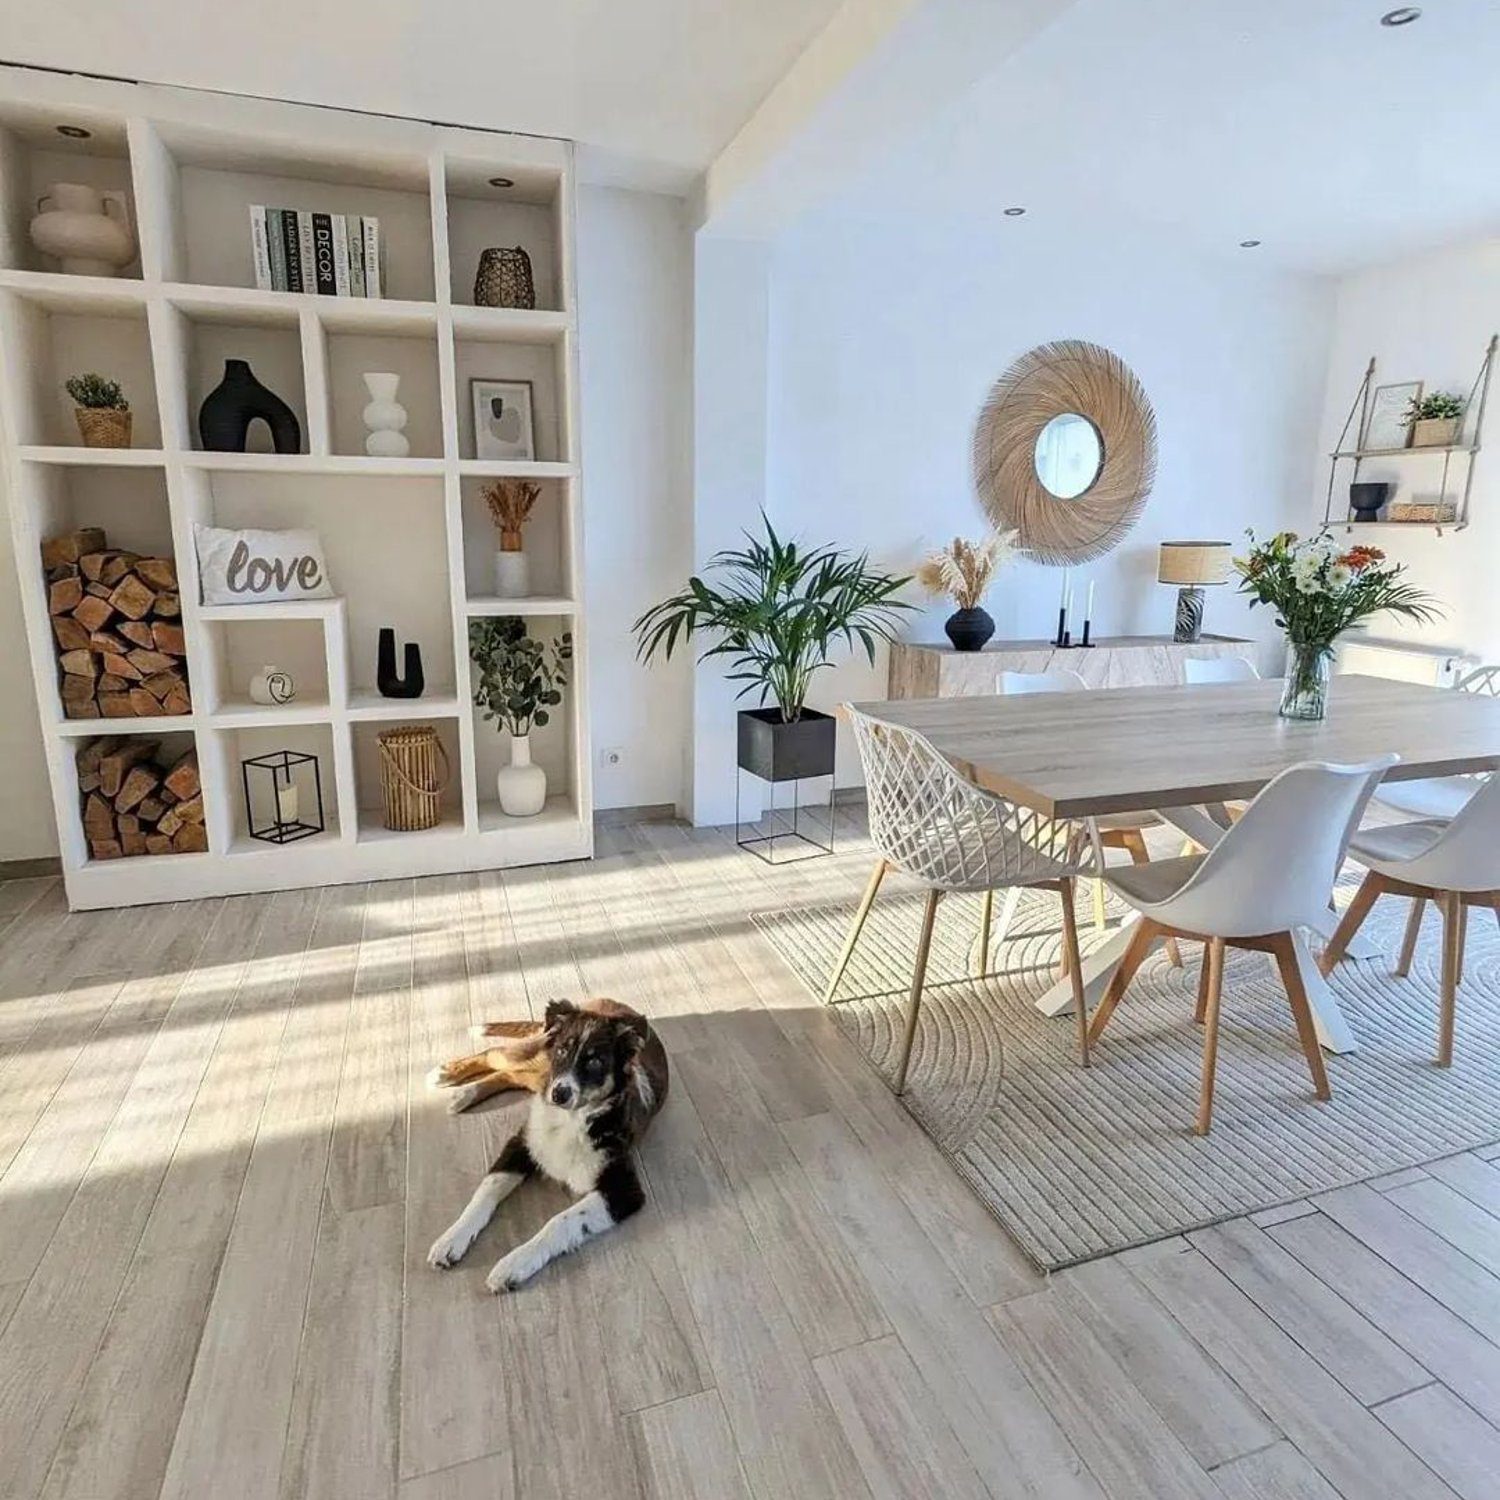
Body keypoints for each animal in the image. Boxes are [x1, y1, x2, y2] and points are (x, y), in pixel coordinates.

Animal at [423, 996, 663, 1290]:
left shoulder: (624, 1189)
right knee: (496, 1055)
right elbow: (484, 1193)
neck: (569, 1121)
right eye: (562, 1051)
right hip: (538, 1057)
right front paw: (452, 1238)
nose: (559, 1094)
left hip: (538, 1072)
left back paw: (465, 1093)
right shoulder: (520, 1144)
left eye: (595, 1061)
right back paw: (450, 1076)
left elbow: (560, 1222)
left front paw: (513, 1265)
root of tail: (614, 1002)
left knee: (509, 1073)